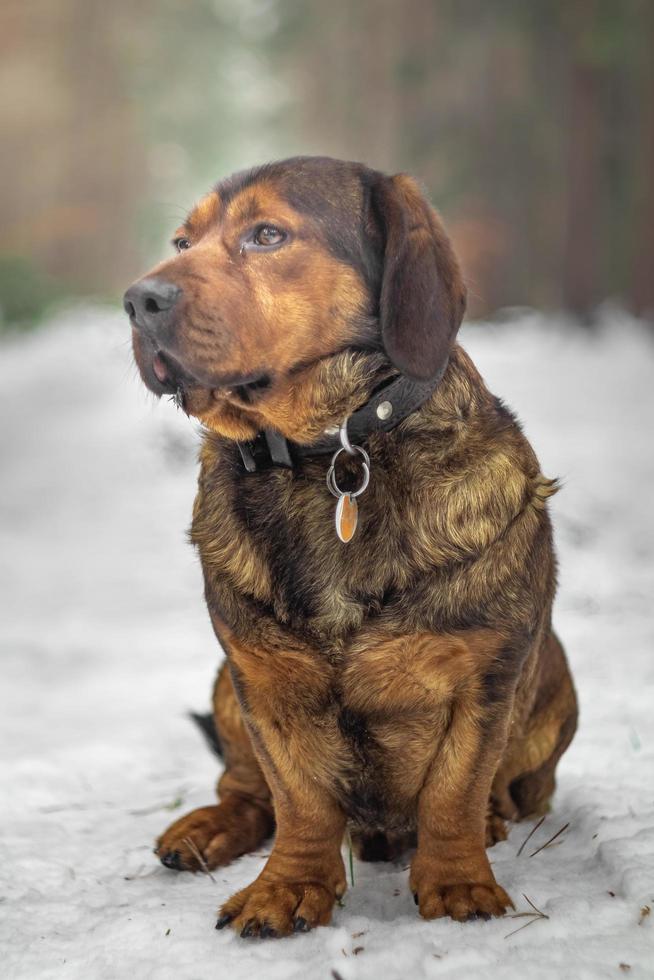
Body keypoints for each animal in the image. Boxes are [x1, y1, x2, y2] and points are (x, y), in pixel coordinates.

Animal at [124, 157, 580, 936]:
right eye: (182, 242)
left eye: (267, 235)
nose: (137, 299)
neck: (326, 452)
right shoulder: (262, 680)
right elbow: (299, 800)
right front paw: (288, 887)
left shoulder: (483, 677)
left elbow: (454, 789)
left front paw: (458, 879)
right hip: (224, 686)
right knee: (246, 789)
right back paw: (207, 827)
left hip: (557, 690)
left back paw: (493, 819)